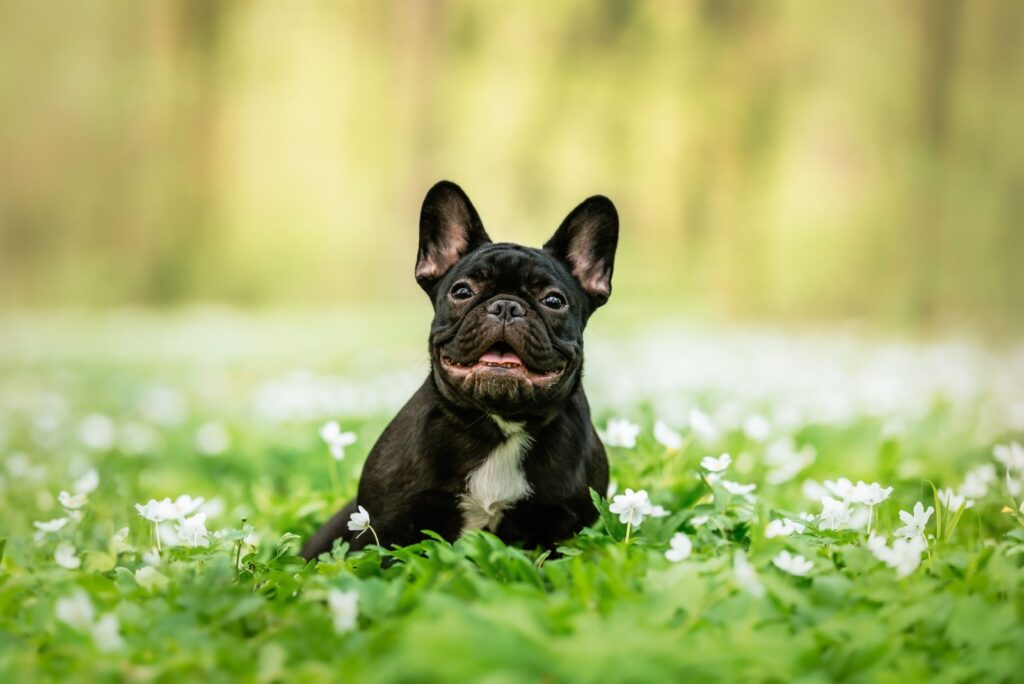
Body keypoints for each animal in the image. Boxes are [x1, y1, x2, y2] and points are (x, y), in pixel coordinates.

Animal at [301, 183, 614, 561]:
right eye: (462, 291)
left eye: (554, 301)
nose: (506, 306)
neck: (499, 426)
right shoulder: (386, 525)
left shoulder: (565, 526)